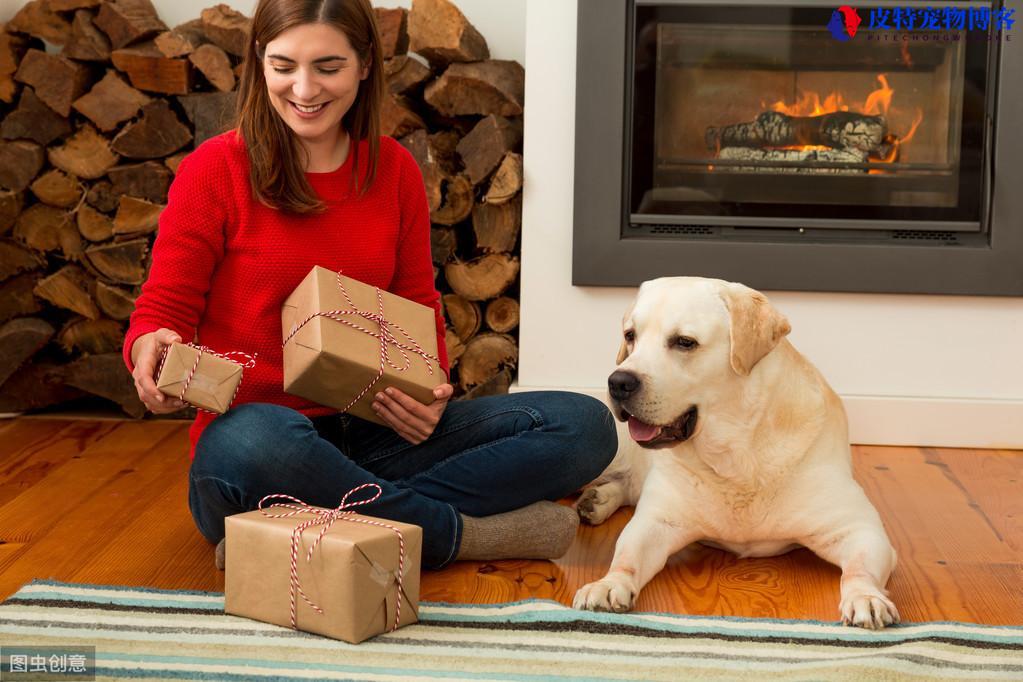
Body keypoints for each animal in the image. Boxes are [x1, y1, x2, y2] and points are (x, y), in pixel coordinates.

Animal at [572, 276, 900, 629]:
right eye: (630, 336)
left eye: (684, 342)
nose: (618, 382)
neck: (733, 452)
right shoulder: (656, 522)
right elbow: (626, 557)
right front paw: (608, 584)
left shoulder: (858, 528)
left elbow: (859, 570)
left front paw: (865, 597)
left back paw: (599, 501)